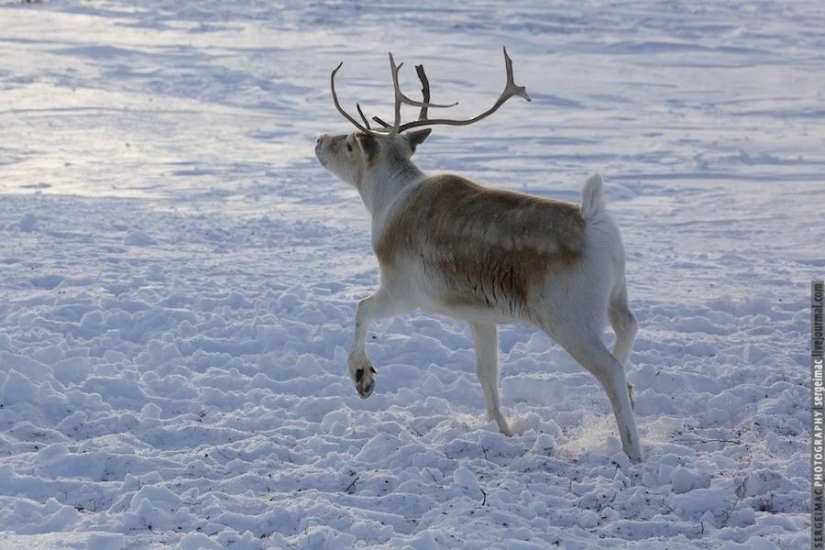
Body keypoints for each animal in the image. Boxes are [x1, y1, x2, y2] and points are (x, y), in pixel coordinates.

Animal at [314, 48, 643, 463]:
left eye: (350, 145)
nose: (319, 140)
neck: (387, 200)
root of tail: (593, 217)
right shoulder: (480, 317)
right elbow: (487, 372)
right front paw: (501, 430)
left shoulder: (402, 290)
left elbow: (361, 309)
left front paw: (362, 377)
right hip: (617, 294)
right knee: (629, 327)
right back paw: (631, 395)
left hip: (570, 320)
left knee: (611, 370)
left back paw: (634, 453)